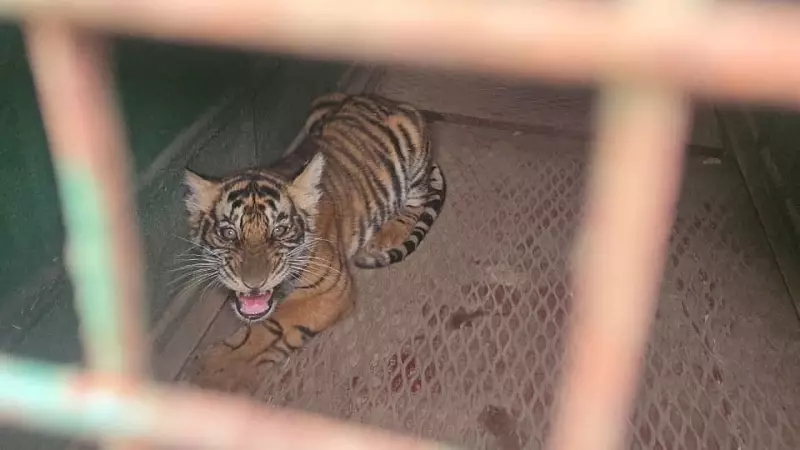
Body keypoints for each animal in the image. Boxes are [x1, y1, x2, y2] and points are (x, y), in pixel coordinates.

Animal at [184, 92, 446, 392]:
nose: (253, 283)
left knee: (416, 202)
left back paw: (386, 234)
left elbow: (272, 324)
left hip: (414, 157)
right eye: (228, 233)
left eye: (281, 229)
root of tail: (389, 101)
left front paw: (216, 369)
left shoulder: (330, 289)